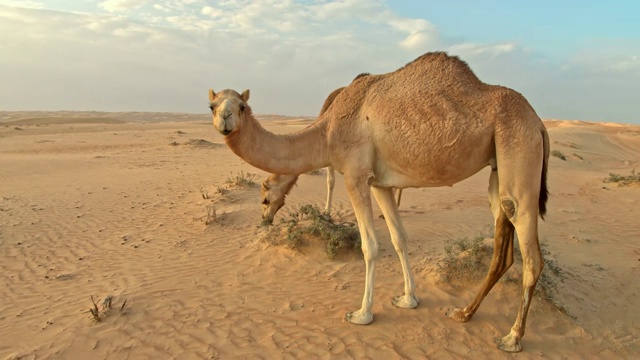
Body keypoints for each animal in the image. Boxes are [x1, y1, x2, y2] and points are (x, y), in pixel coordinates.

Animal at [258, 80, 400, 225]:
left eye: (265, 200)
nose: (265, 219)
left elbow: (333, 181)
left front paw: (328, 213)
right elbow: (330, 182)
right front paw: (327, 212)